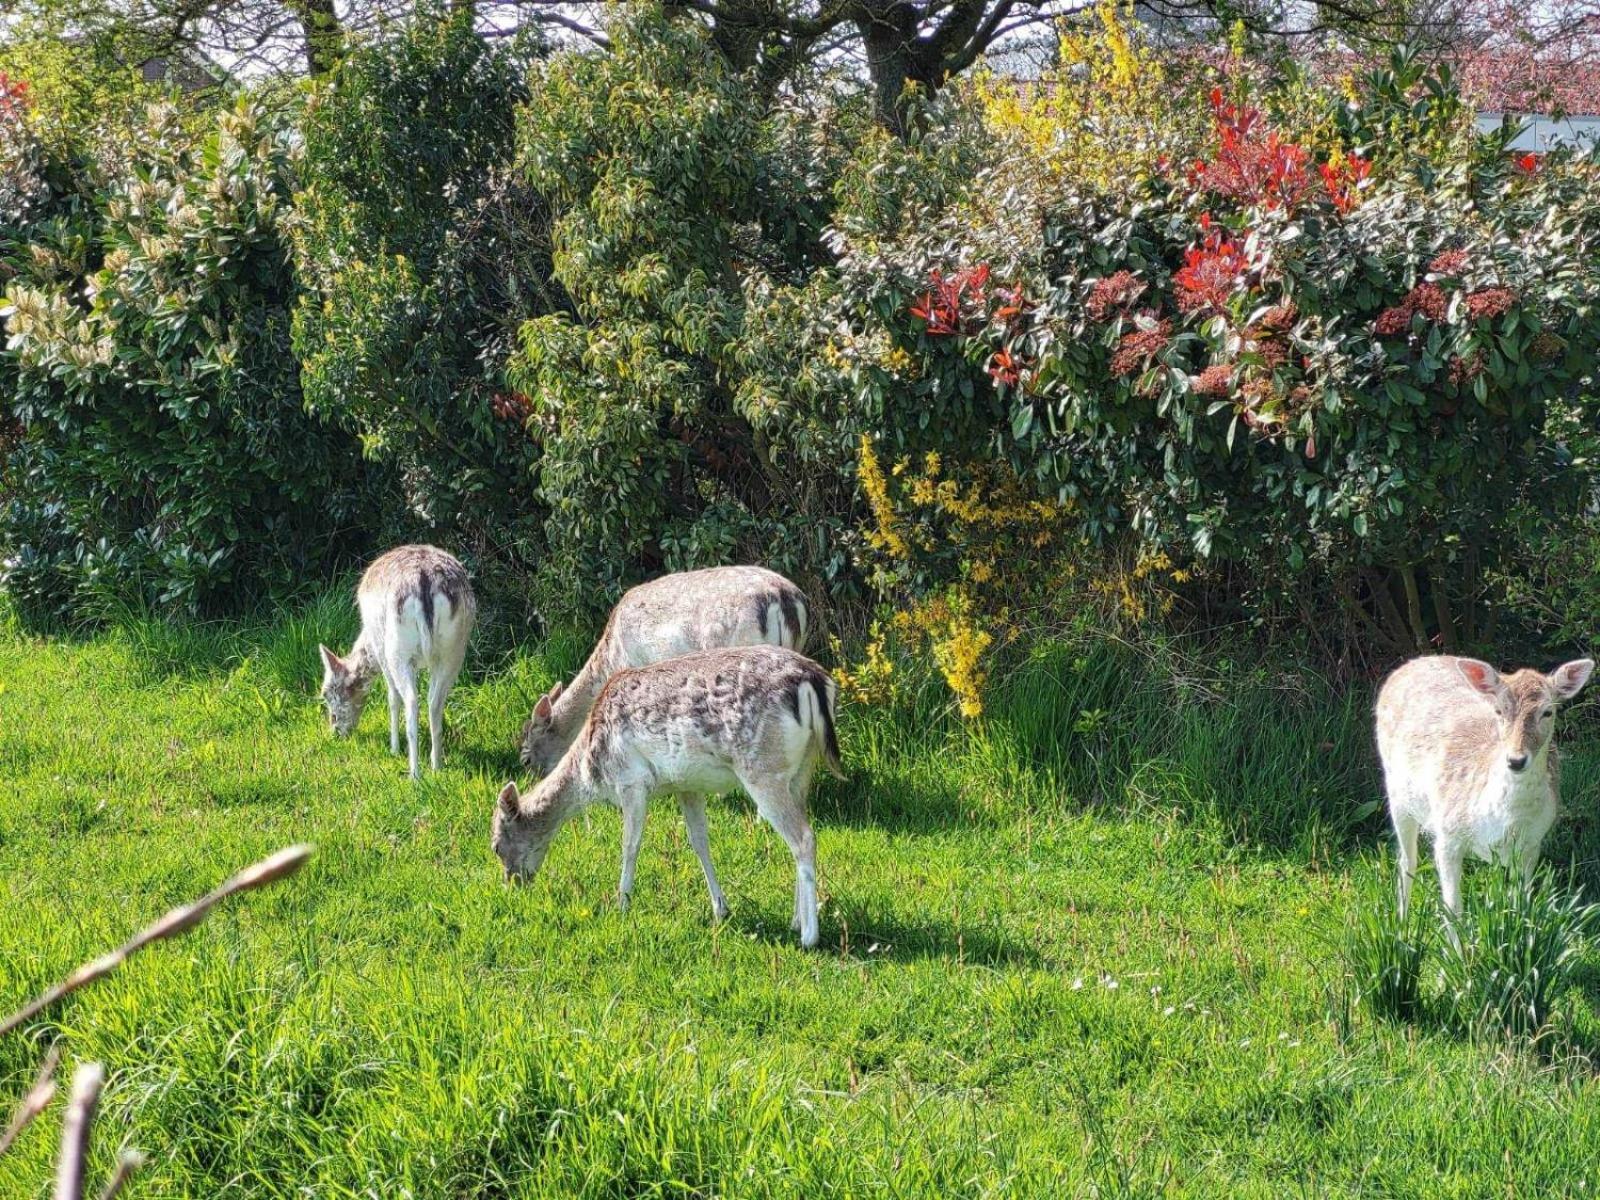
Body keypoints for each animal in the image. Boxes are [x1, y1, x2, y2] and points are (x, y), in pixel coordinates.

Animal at [318, 547, 473, 780]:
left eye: (326, 693)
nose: (335, 730)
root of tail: (423, 581)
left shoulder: (381, 652)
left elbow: (392, 696)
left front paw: (393, 748)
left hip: (397, 651)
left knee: (411, 700)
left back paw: (414, 773)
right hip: (453, 650)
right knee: (435, 702)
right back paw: (436, 765)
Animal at [489, 649, 844, 947]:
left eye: (495, 846)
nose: (512, 884)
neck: (592, 768)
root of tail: (814, 680)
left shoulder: (631, 781)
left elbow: (630, 845)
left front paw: (621, 903)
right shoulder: (687, 785)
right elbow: (700, 842)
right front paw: (720, 909)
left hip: (762, 769)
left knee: (803, 837)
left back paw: (809, 936)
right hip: (801, 770)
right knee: (798, 834)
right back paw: (795, 921)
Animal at [1369, 659, 1593, 921]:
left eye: (1547, 712)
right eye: (1499, 711)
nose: (1516, 760)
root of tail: (1411, 664)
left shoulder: (1532, 844)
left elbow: (1521, 902)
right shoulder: (1447, 837)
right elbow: (1453, 910)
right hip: (1396, 794)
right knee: (1407, 860)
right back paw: (1402, 922)